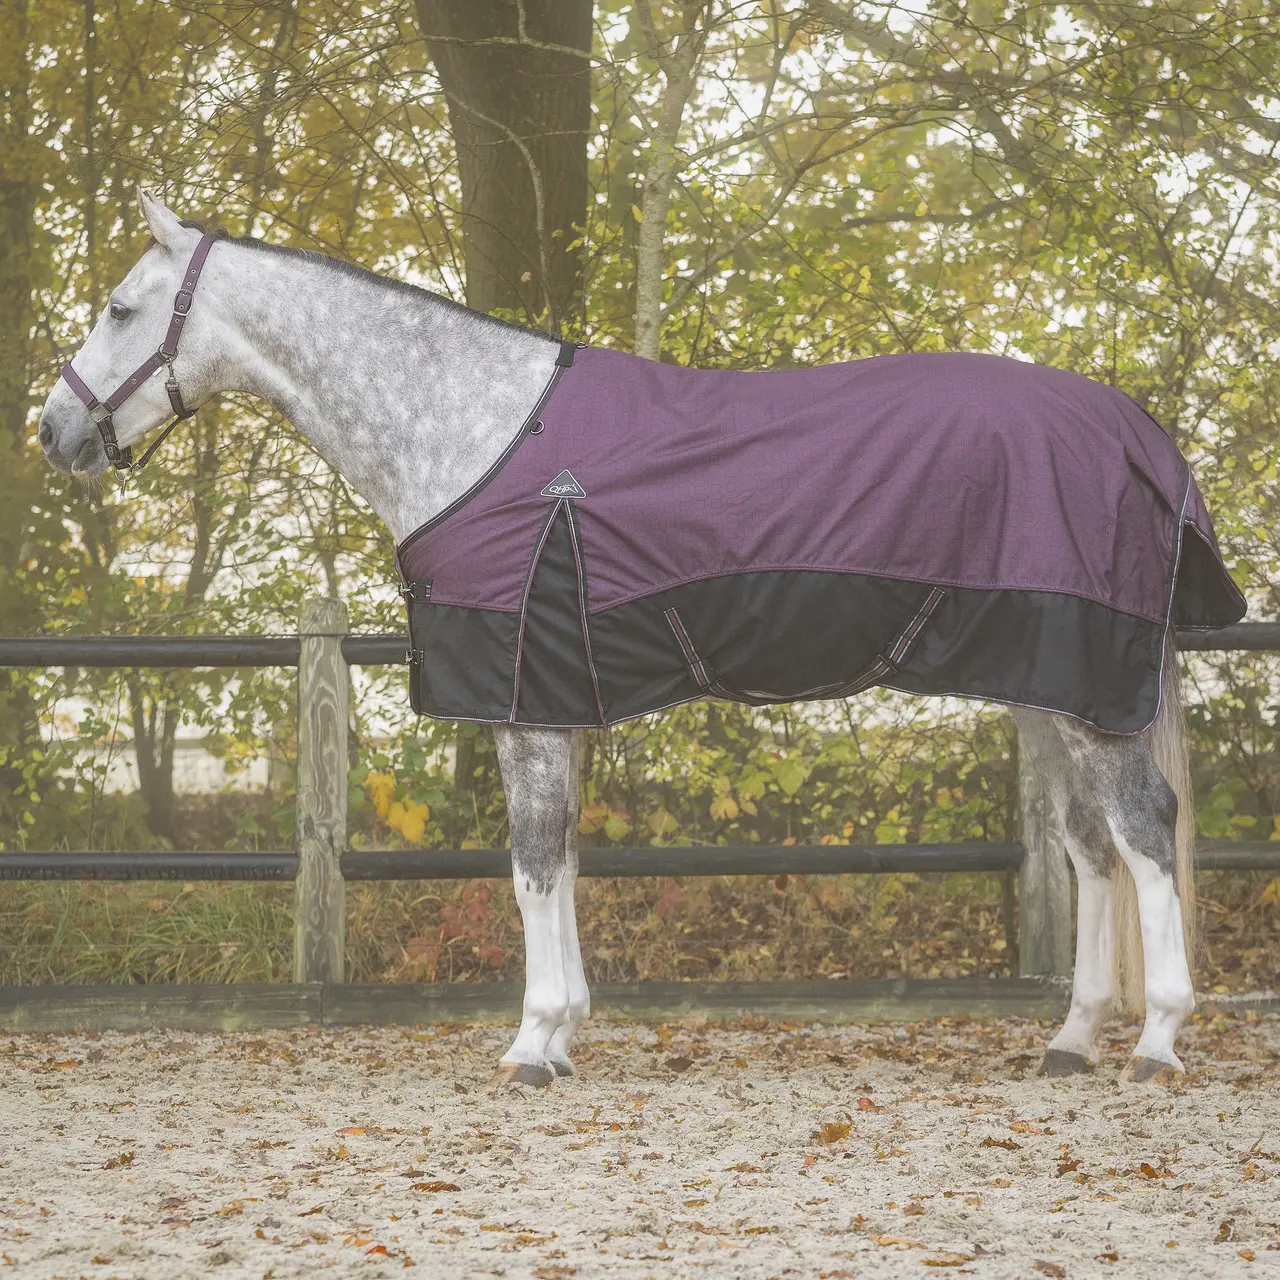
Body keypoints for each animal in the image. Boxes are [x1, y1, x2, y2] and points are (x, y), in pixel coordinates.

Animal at [38, 190, 1245, 1086]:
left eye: (120, 307)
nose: (52, 432)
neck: (479, 431)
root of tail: (1136, 430)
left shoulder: (523, 694)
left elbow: (529, 861)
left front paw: (529, 1045)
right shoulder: (554, 694)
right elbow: (563, 854)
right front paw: (567, 1028)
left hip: (1088, 688)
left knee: (1142, 830)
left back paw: (1153, 1041)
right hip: (1047, 683)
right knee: (1089, 847)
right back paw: (1069, 1040)